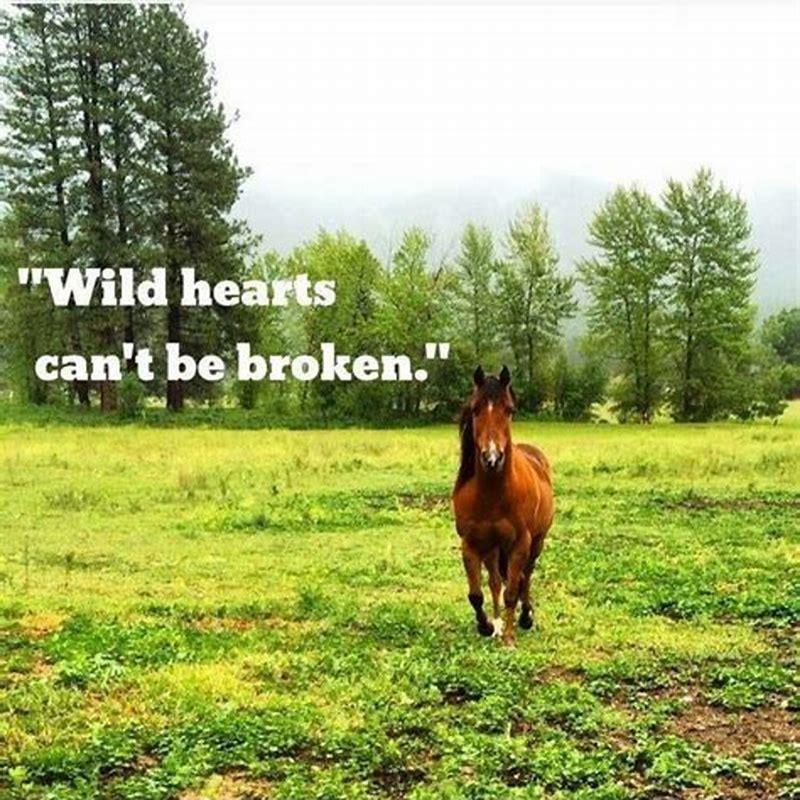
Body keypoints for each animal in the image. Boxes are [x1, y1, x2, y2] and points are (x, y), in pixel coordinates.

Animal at [451, 365, 554, 647]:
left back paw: (525, 617)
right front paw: (487, 626)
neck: (492, 496)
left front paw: (509, 637)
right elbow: (477, 593)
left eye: (509, 409)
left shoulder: (521, 544)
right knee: (496, 581)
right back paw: (498, 623)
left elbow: (513, 591)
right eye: (475, 408)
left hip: (537, 543)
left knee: (525, 578)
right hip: (493, 549)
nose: (492, 457)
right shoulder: (472, 544)